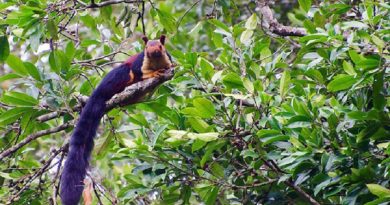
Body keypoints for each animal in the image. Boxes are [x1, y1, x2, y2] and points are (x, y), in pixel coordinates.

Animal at [59, 35, 172, 205]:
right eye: (146, 48)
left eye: (160, 46)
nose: (153, 52)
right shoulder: (140, 63)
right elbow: (140, 72)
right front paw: (153, 74)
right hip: (120, 75)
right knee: (127, 74)